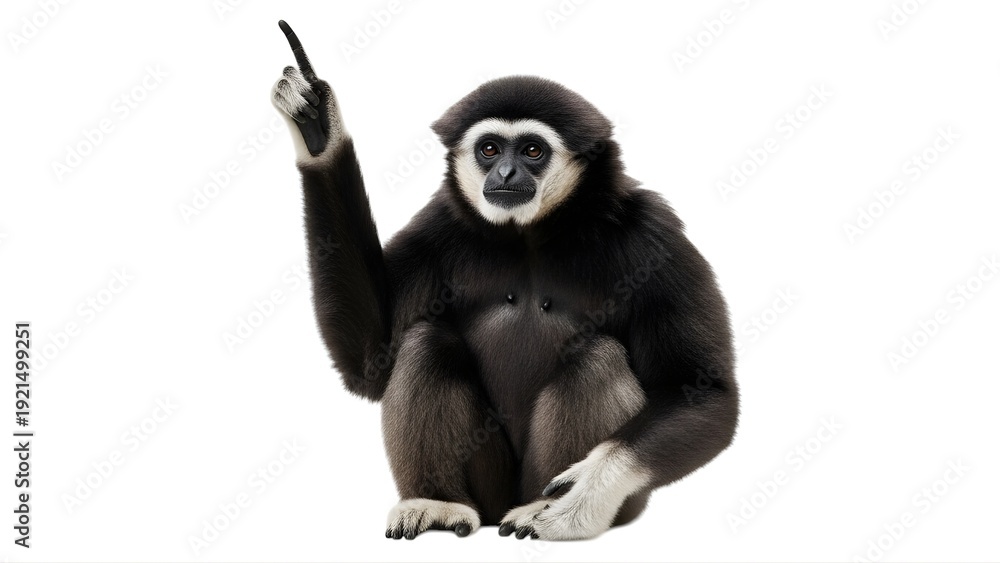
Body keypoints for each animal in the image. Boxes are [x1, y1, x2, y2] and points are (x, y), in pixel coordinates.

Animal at [270, 21, 739, 541]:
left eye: (533, 150)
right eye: (490, 148)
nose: (506, 171)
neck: (530, 234)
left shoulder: (654, 238)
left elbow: (702, 390)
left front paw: (584, 494)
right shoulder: (438, 227)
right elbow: (370, 361)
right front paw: (318, 129)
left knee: (597, 359)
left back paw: (546, 510)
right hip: (489, 488)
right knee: (425, 343)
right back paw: (437, 501)